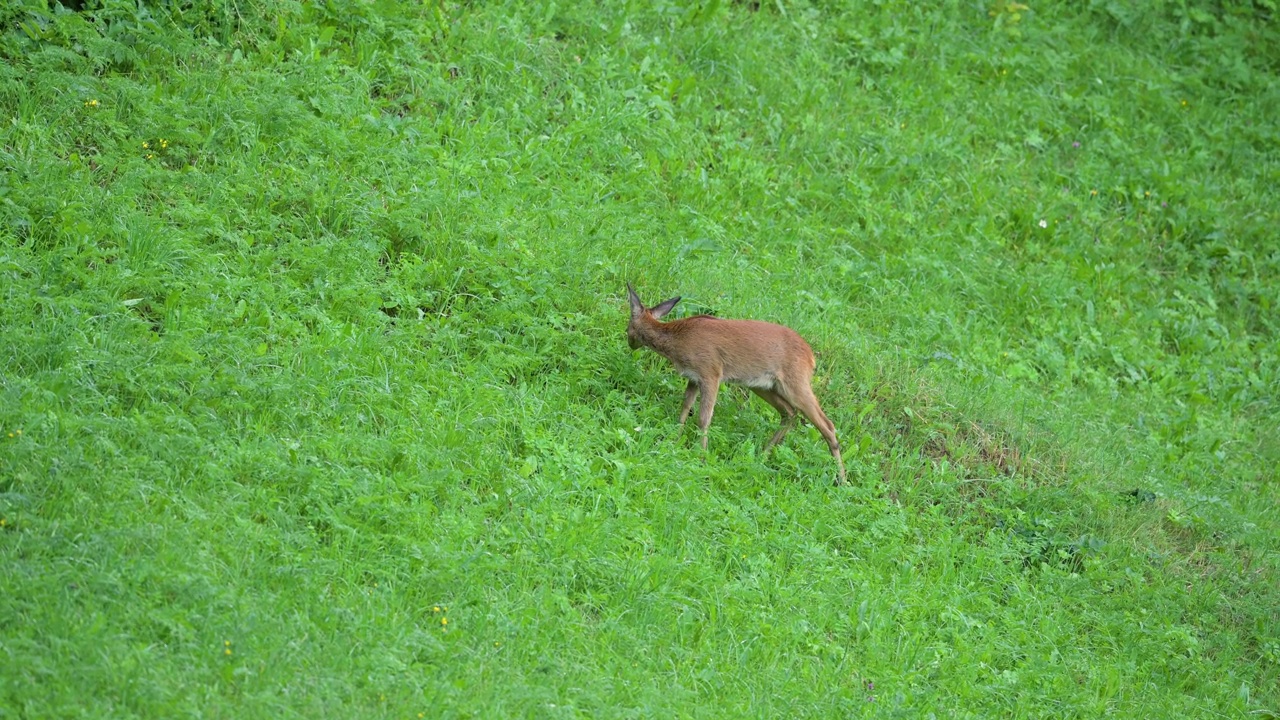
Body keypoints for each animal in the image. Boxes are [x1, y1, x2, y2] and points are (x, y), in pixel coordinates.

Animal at [624, 281, 844, 481]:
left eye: (627, 328)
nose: (630, 343)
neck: (678, 340)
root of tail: (811, 357)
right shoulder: (694, 378)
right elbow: (685, 408)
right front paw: (673, 439)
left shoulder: (711, 372)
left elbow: (704, 417)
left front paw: (701, 458)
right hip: (763, 385)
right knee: (789, 412)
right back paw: (763, 455)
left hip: (795, 382)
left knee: (827, 425)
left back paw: (842, 480)